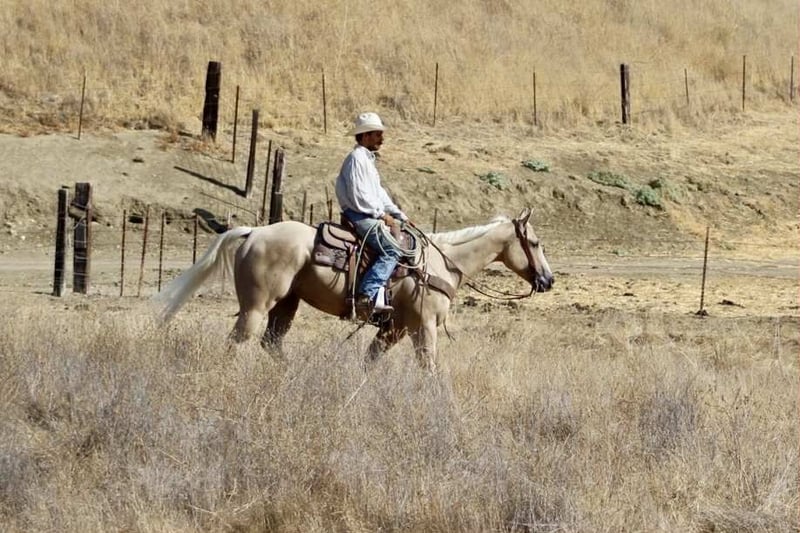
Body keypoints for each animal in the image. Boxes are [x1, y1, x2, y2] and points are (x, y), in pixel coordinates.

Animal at [154, 208, 554, 370]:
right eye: (534, 243)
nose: (548, 280)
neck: (442, 263)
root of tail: (253, 233)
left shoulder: (394, 328)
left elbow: (370, 362)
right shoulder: (423, 326)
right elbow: (430, 368)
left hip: (287, 304)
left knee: (272, 343)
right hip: (256, 306)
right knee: (238, 343)